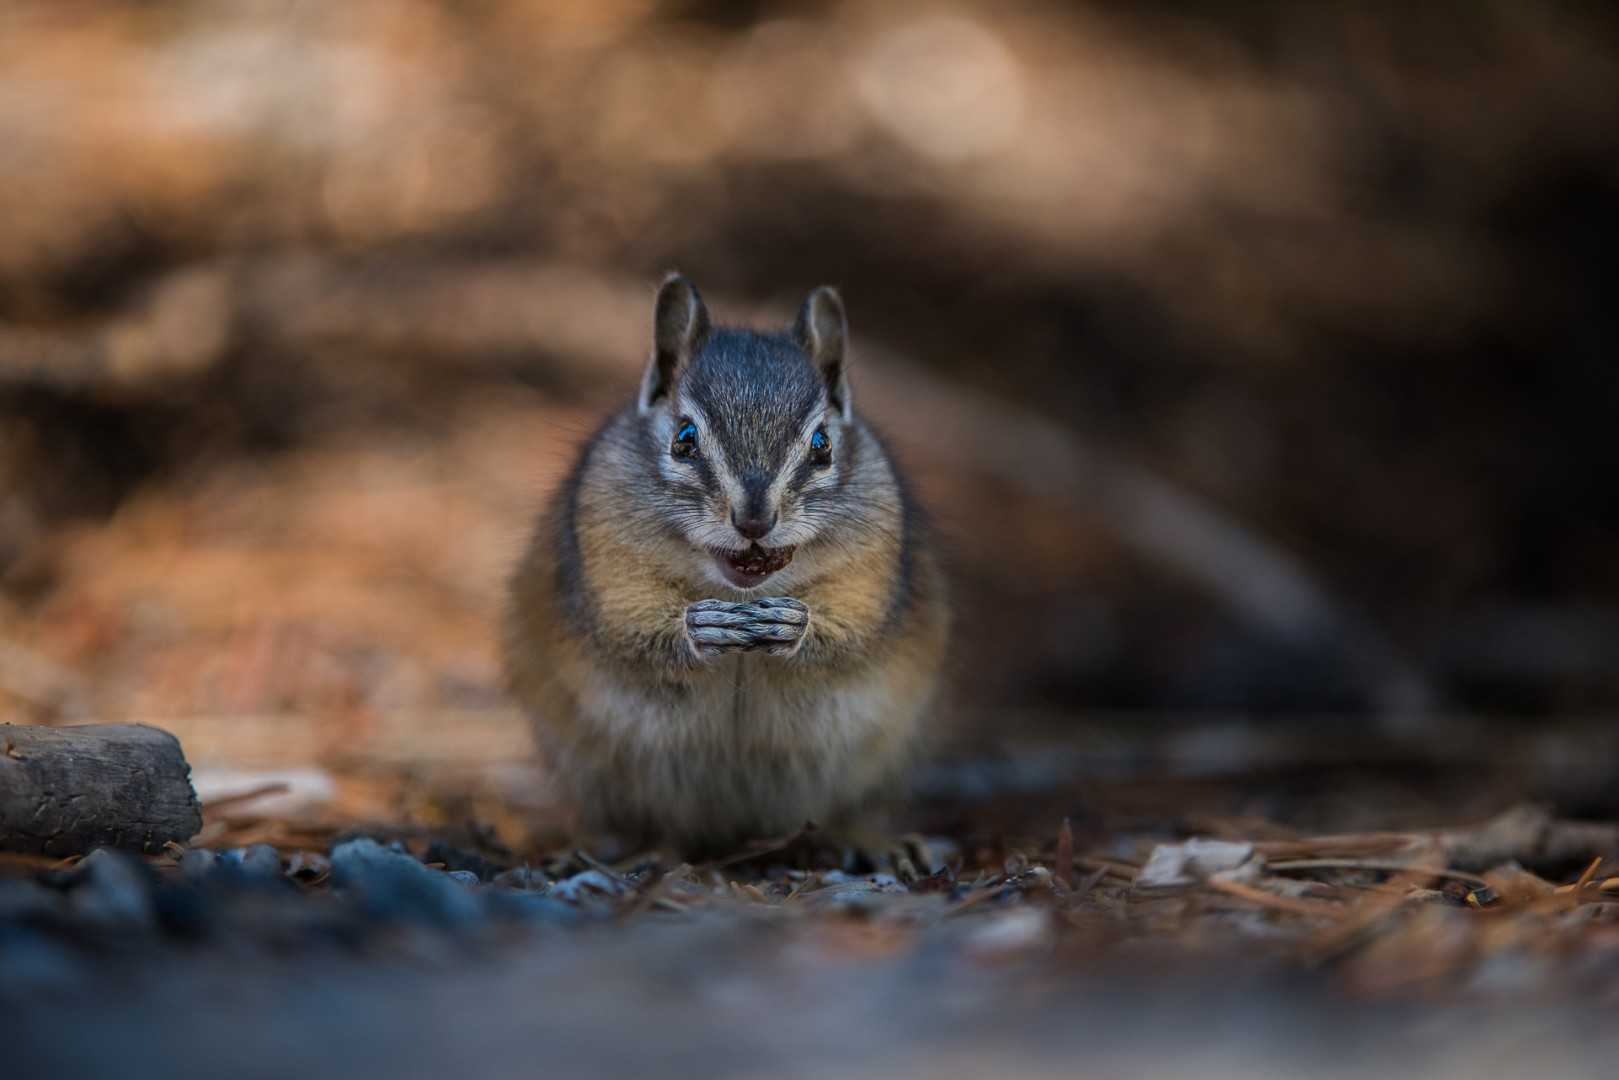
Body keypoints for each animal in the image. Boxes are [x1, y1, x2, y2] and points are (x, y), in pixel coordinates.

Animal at [503, 274, 951, 860]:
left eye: (823, 444)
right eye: (684, 438)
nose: (754, 519)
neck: (741, 588)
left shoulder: (873, 575)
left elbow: (854, 633)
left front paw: (793, 625)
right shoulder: (605, 568)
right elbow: (628, 632)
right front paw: (701, 626)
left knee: (841, 813)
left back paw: (871, 840)